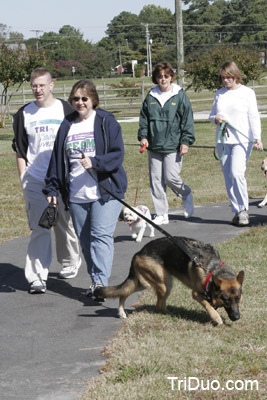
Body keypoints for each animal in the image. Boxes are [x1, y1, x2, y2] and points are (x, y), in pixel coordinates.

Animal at [95, 238, 246, 324]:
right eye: (226, 300)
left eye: (238, 299)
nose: (237, 317)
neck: (211, 268)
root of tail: (138, 253)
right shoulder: (196, 294)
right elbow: (208, 305)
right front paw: (216, 318)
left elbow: (210, 304)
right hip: (164, 284)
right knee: (159, 306)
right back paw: (172, 315)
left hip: (143, 283)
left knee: (124, 292)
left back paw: (121, 311)